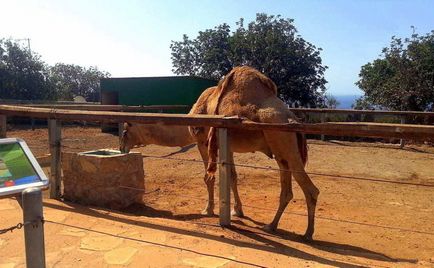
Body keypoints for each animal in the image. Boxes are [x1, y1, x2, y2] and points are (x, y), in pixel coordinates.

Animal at [189, 67, 318, 241]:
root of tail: (292, 119)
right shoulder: (227, 146)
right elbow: (232, 177)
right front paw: (237, 210)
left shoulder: (203, 142)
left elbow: (208, 177)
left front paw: (207, 210)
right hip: (282, 152)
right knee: (287, 191)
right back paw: (271, 226)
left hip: (285, 145)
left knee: (311, 190)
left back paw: (308, 234)